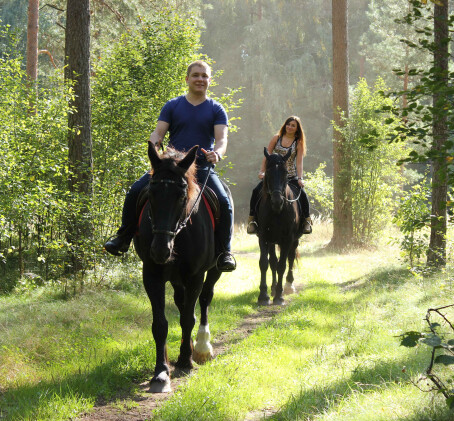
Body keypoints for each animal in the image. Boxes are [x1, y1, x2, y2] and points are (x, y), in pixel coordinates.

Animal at [133, 143, 225, 392]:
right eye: (151, 193)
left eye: (182, 195)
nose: (160, 250)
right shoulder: (152, 275)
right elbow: (160, 324)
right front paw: (161, 373)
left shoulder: (196, 275)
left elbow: (187, 318)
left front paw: (185, 360)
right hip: (175, 279)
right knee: (182, 302)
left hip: (213, 271)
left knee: (204, 300)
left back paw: (201, 347)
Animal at [255, 148, 302, 306]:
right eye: (268, 172)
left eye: (285, 172)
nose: (277, 202)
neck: (277, 212)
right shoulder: (264, 237)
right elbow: (264, 263)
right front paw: (263, 295)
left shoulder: (287, 239)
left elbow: (282, 265)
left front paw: (279, 297)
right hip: (272, 241)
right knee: (273, 262)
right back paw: (274, 288)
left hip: (294, 240)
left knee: (290, 258)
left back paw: (288, 285)